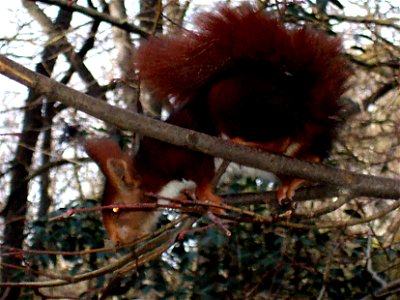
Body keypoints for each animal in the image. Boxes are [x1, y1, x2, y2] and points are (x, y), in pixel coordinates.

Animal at [83, 4, 350, 244]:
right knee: (311, 154)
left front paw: (205, 195)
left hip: (236, 104)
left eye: (116, 209)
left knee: (285, 135)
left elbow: (202, 174)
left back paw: (250, 144)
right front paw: (187, 197)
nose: (116, 243)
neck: (151, 175)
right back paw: (293, 181)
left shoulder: (186, 150)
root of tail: (301, 100)